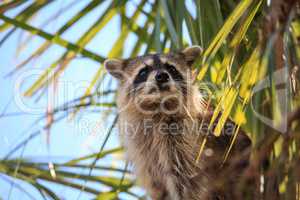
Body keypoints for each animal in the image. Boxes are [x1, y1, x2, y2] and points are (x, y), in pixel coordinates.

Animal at [104, 46, 252, 200]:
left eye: (171, 68)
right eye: (143, 71)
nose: (162, 76)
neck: (159, 107)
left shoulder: (187, 140)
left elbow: (188, 182)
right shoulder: (142, 150)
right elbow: (157, 185)